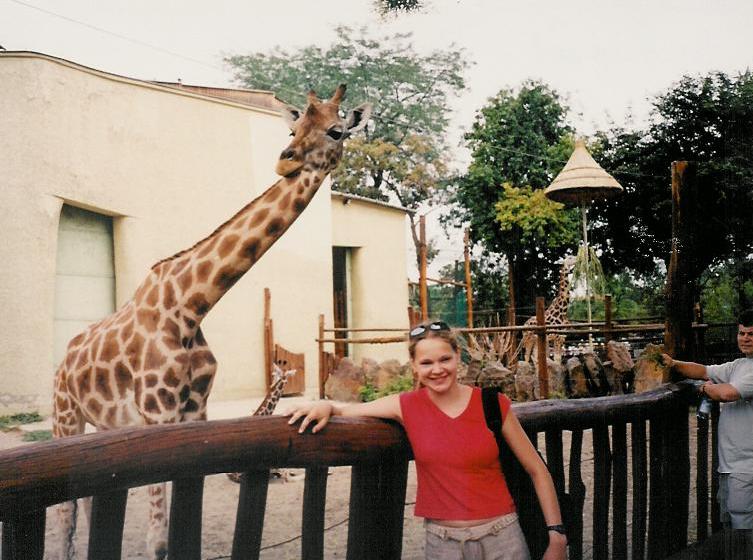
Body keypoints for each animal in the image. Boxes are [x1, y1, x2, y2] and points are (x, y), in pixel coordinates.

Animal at [51, 84, 372, 560]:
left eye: (336, 130)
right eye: (293, 128)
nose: (286, 160)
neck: (191, 305)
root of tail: (63, 360)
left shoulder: (194, 414)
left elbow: (191, 530)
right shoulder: (157, 415)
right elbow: (159, 541)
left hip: (101, 423)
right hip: (64, 417)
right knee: (66, 516)